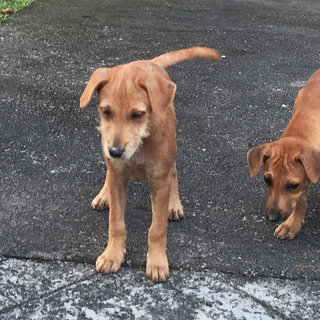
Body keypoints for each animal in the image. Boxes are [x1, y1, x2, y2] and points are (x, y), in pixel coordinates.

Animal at [80, 46, 220, 282]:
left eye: (137, 114)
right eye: (106, 111)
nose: (116, 151)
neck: (140, 144)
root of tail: (149, 63)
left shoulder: (159, 181)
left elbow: (157, 228)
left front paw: (156, 262)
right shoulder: (118, 177)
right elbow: (116, 223)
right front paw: (112, 255)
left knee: (174, 172)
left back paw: (174, 205)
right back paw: (103, 195)